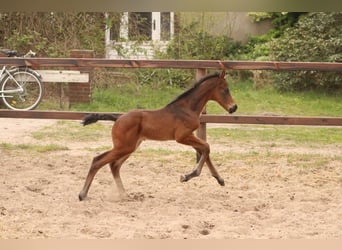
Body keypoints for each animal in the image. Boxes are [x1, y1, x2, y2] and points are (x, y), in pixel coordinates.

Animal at [78, 70, 236, 201]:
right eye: (225, 89)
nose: (234, 108)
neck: (186, 108)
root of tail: (118, 118)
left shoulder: (189, 136)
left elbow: (205, 151)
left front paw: (219, 179)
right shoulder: (182, 137)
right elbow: (206, 147)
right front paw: (187, 176)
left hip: (130, 147)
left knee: (114, 165)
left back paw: (124, 195)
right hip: (124, 147)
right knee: (98, 161)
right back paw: (82, 194)